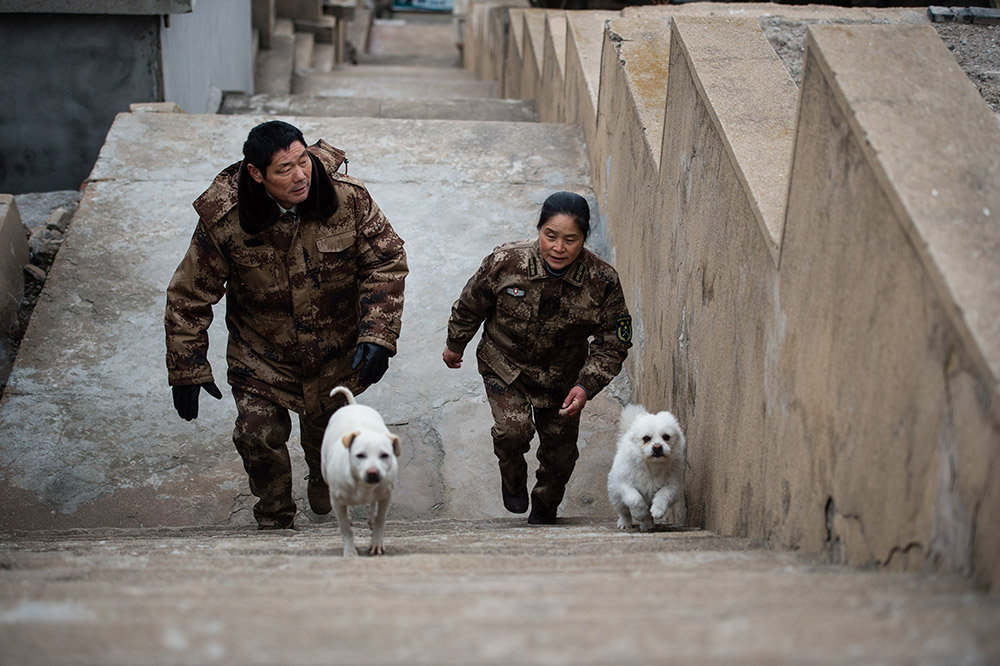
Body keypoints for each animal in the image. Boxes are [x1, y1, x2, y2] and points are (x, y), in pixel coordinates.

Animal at [318, 384, 400, 556]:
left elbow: (380, 519)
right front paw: (350, 551)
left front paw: (376, 542)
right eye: (360, 455)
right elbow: (345, 528)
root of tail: (353, 407)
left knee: (374, 506)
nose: (373, 473)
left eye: (385, 455)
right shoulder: (336, 500)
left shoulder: (386, 495)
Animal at [604, 402, 684, 532]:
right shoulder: (623, 483)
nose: (657, 447)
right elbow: (634, 498)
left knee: (648, 515)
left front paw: (657, 510)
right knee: (624, 512)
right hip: (615, 496)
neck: (652, 465)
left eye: (666, 437)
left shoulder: (673, 485)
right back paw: (625, 523)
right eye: (646, 438)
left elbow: (663, 494)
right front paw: (639, 514)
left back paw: (647, 525)